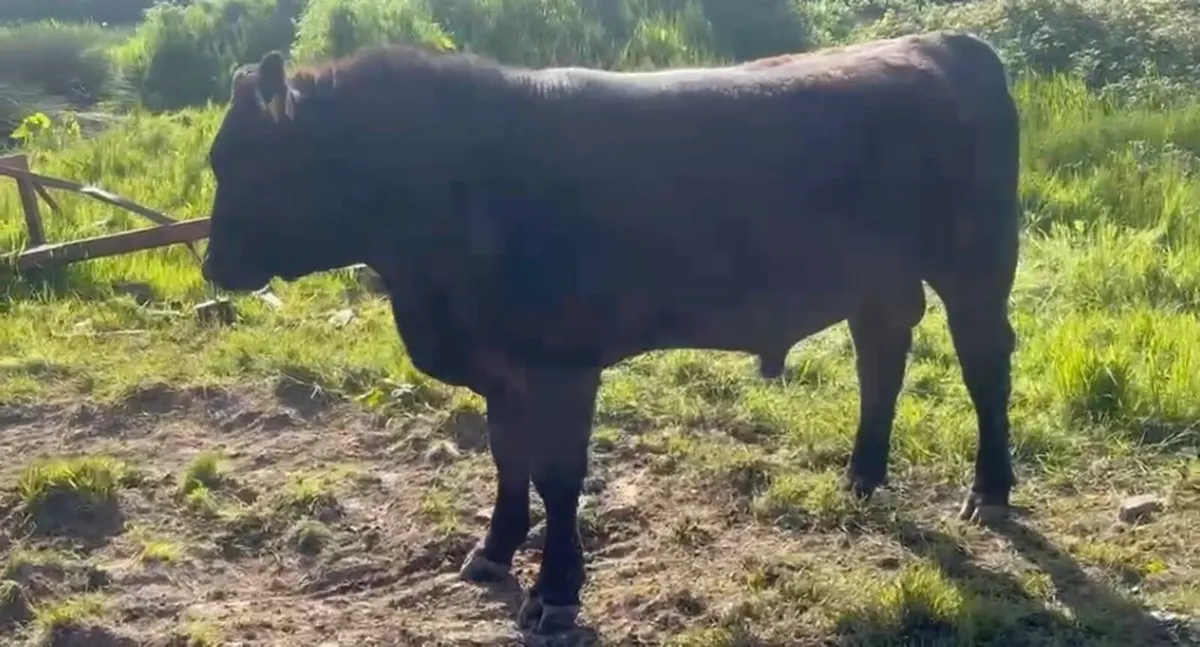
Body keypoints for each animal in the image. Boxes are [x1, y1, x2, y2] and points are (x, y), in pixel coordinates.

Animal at [200, 30, 1021, 637]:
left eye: (252, 163)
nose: (212, 264)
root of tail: (946, 42)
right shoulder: (501, 367)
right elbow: (507, 461)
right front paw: (492, 553)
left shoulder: (562, 364)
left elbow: (558, 477)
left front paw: (556, 592)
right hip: (878, 279)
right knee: (882, 353)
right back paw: (861, 475)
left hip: (977, 264)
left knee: (984, 364)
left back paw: (988, 491)